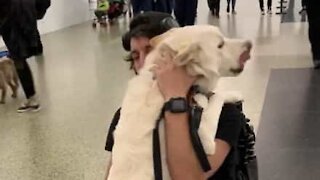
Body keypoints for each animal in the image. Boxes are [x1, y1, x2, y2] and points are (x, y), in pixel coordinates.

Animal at [107, 24, 252, 179]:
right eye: (220, 45)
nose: (250, 44)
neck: (156, 84)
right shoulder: (205, 142)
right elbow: (217, 96)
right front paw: (229, 95)